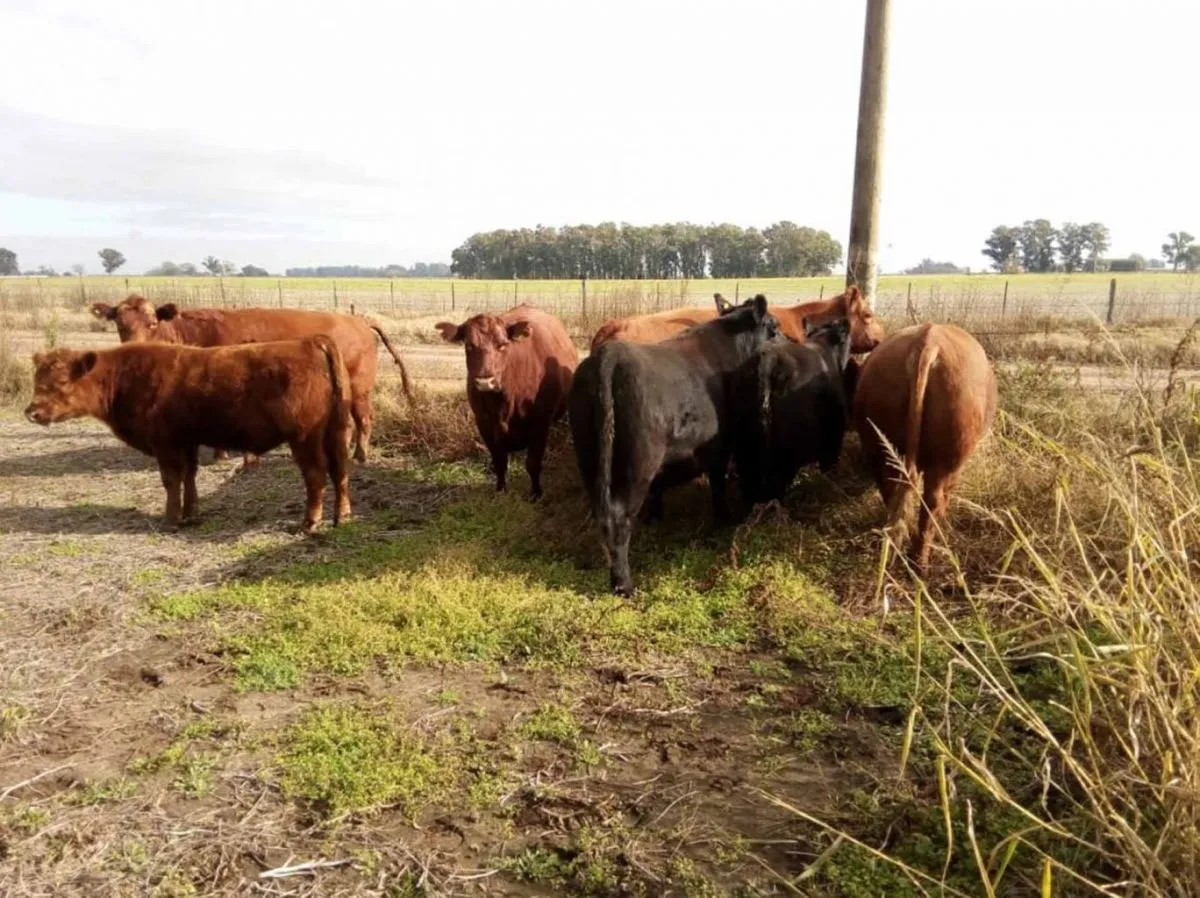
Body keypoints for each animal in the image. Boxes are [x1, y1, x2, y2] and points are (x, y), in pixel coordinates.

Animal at [24, 337, 353, 532]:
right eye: (37, 378)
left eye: (62, 381)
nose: (32, 412)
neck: (125, 376)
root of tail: (310, 341)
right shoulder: (188, 441)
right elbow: (189, 475)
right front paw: (191, 512)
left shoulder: (165, 443)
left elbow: (171, 479)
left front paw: (170, 518)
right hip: (336, 434)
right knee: (340, 473)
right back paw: (342, 516)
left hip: (304, 439)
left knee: (316, 476)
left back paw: (309, 522)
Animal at [90, 295, 413, 463]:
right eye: (120, 325)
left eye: (152, 323)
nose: (132, 351)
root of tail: (359, 320)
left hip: (358, 388)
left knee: (364, 418)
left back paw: (360, 455)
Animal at [435, 303, 578, 499]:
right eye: (469, 345)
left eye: (502, 345)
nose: (485, 381)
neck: (504, 403)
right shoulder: (484, 424)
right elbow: (499, 462)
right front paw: (500, 490)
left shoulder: (540, 424)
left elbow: (533, 464)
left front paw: (536, 494)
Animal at [569, 294, 780, 596]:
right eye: (774, 328)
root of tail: (609, 354)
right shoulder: (721, 446)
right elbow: (718, 484)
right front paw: (723, 519)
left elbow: (659, 488)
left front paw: (656, 517)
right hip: (638, 463)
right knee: (619, 518)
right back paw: (624, 584)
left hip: (589, 456)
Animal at [851, 323, 998, 571]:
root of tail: (927, 342)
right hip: (947, 459)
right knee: (932, 500)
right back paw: (920, 561)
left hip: (881, 447)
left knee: (893, 490)